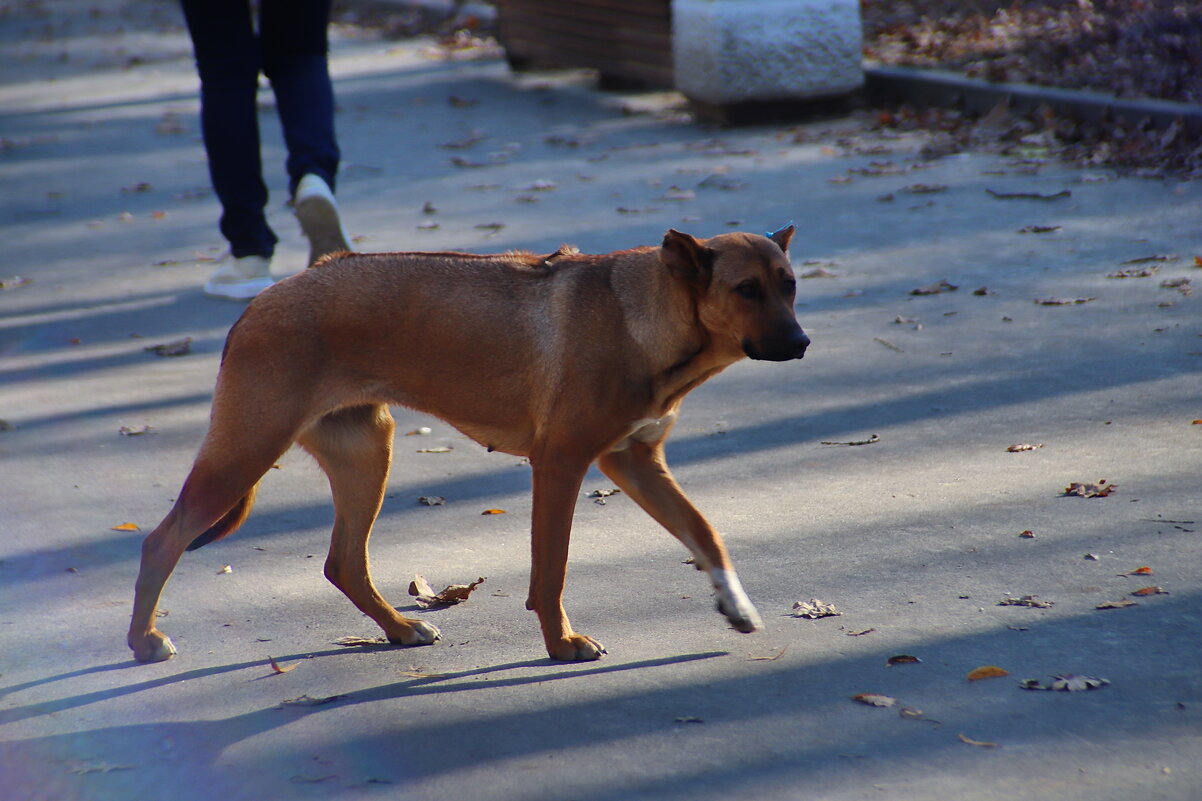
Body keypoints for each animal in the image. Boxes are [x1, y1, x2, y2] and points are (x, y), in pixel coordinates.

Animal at [129, 226, 807, 659]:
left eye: (789, 284)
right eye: (746, 289)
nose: (802, 343)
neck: (646, 317)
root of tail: (258, 304)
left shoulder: (635, 460)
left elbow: (705, 532)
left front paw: (736, 605)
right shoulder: (559, 464)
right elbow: (551, 569)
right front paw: (561, 645)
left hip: (365, 452)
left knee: (344, 562)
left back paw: (401, 631)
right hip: (246, 451)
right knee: (162, 541)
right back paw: (143, 642)